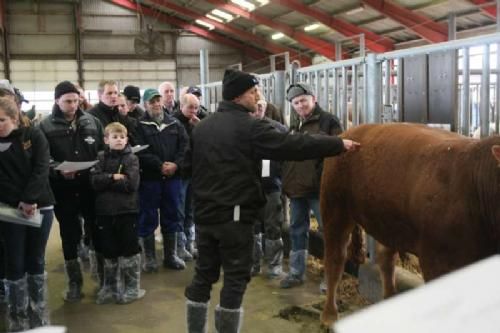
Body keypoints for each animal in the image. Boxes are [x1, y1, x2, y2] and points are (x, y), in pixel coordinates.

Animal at [320, 122, 500, 324]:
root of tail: (352, 131)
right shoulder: (436, 261)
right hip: (334, 208)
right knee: (335, 258)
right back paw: (329, 316)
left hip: (387, 221)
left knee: (386, 258)